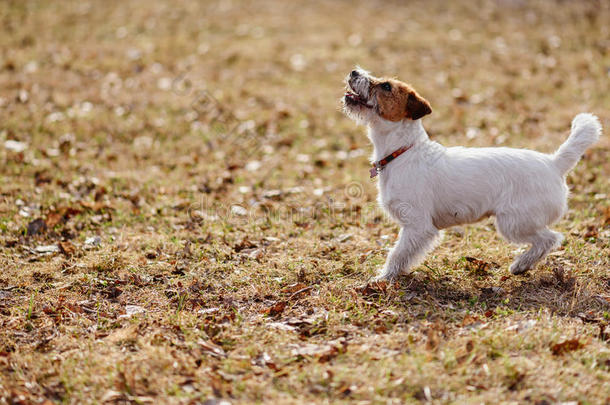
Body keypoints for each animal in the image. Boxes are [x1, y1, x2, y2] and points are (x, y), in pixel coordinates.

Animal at [340, 67, 600, 280]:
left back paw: (522, 264)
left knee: (550, 239)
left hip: (514, 222)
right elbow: (402, 254)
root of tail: (553, 163)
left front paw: (383, 278)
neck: (402, 151)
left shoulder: (418, 226)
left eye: (386, 86)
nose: (354, 71)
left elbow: (397, 253)